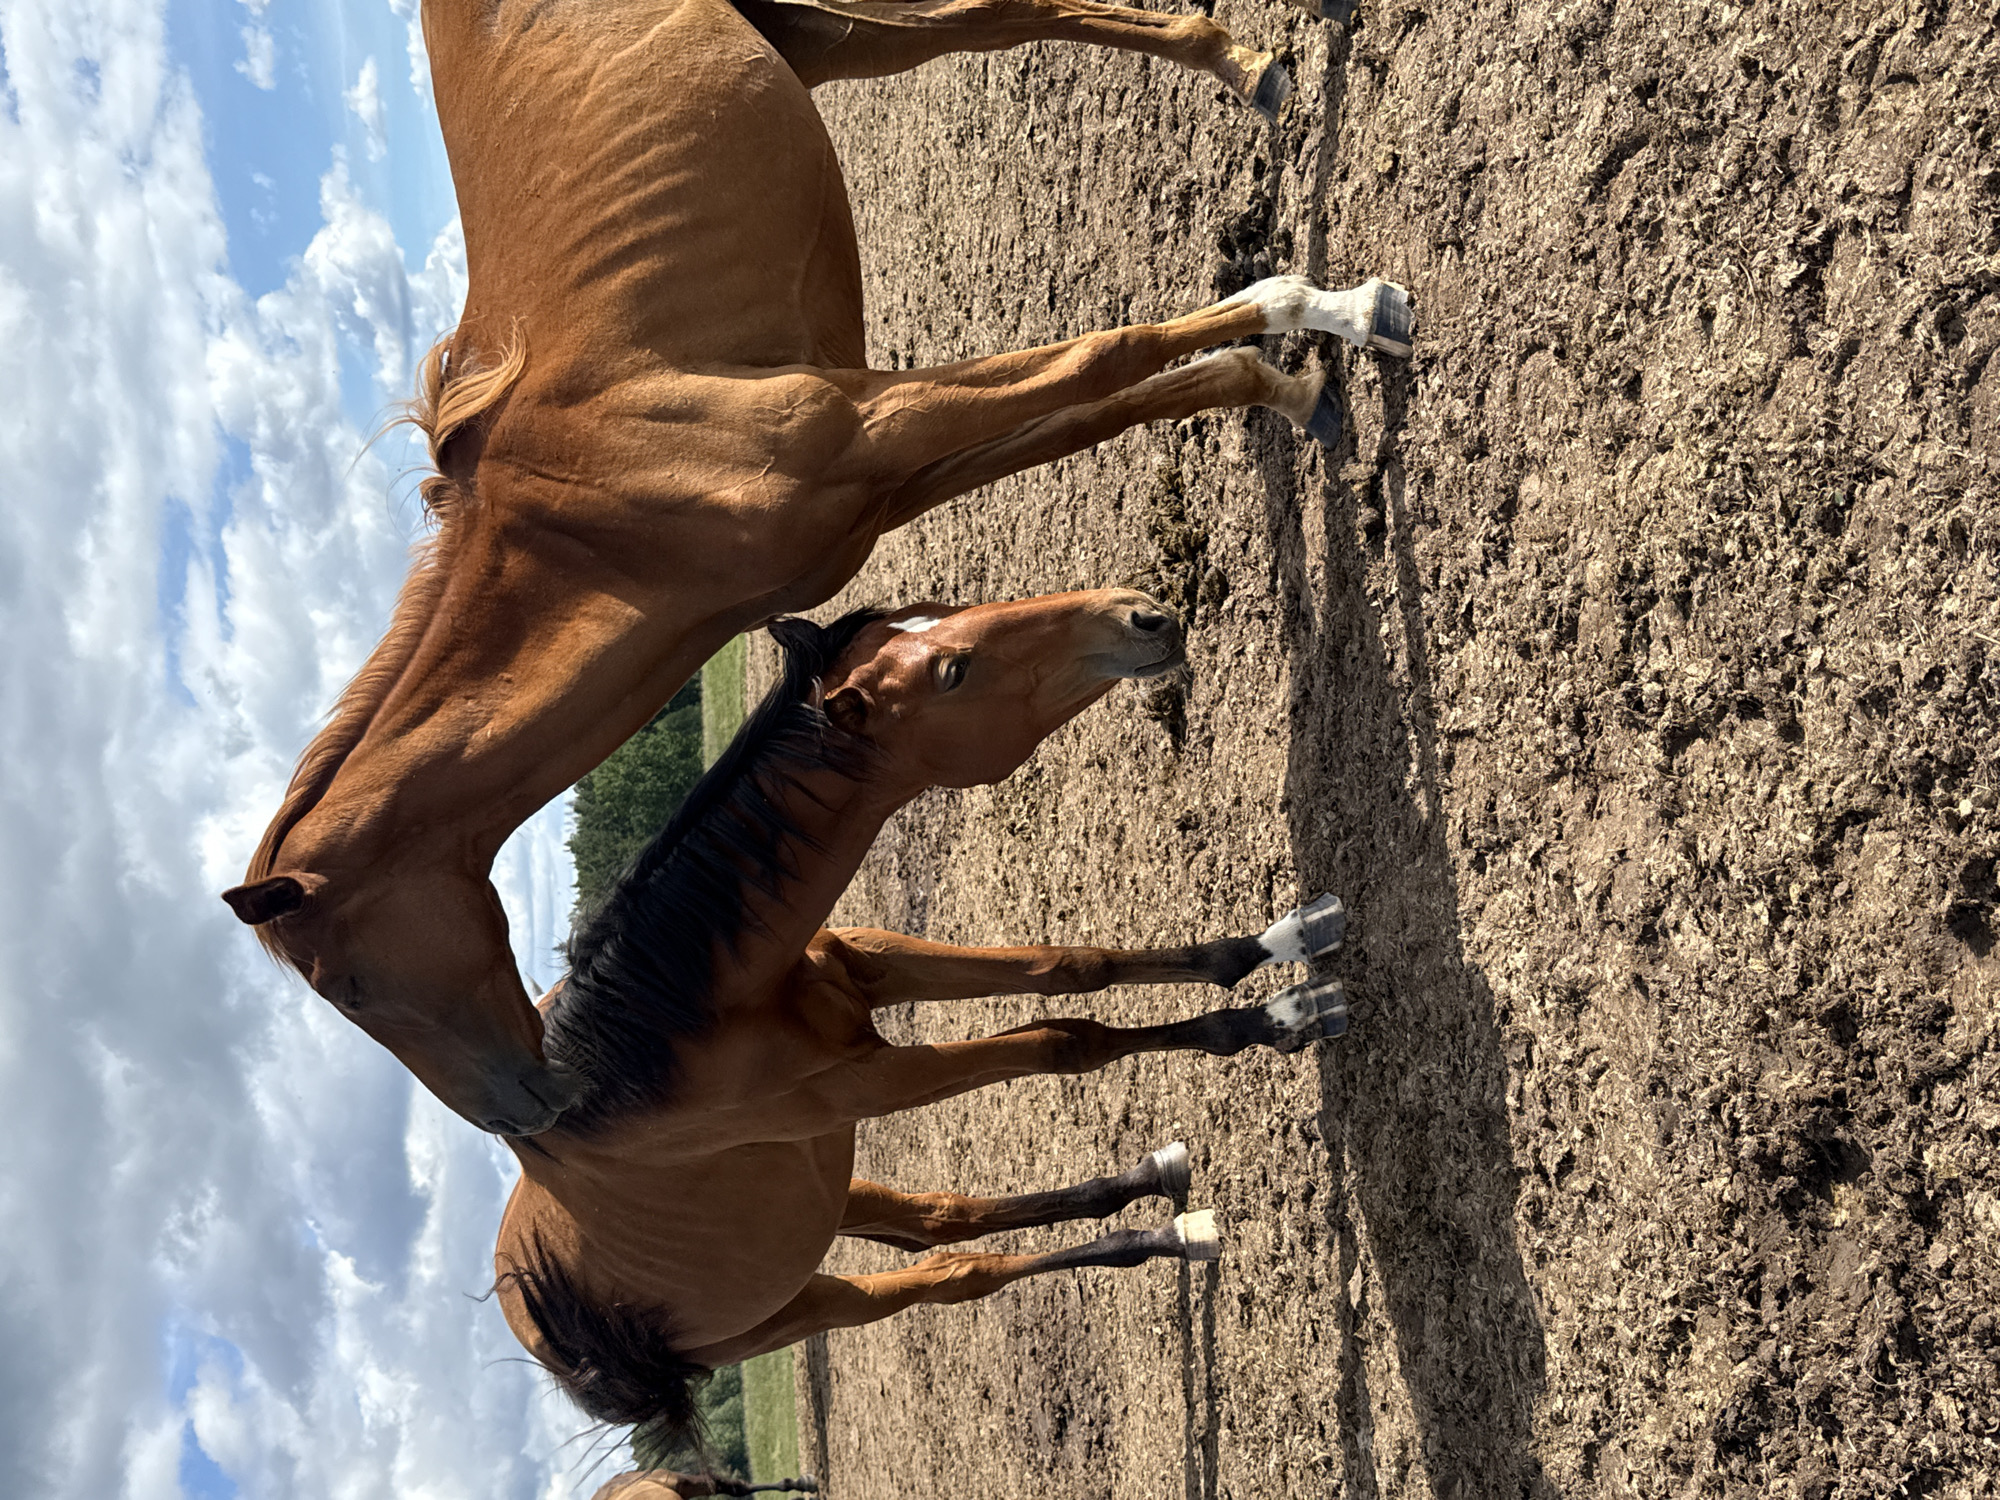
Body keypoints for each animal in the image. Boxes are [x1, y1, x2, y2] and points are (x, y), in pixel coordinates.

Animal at [221, 0, 1413, 1137]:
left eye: (352, 988)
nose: (529, 1106)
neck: (605, 520)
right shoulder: (883, 480)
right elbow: (1102, 402)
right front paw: (1286, 384)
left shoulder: (872, 423)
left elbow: (1101, 358)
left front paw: (1334, 311)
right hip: (813, 39)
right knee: (988, 19)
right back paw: (1261, 60)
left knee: (1000, 19)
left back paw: (1251, 67)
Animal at [492, 588, 1351, 1450]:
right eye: (953, 671)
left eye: (938, 608)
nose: (1138, 613)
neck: (684, 1022)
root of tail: (546, 1333)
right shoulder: (876, 1081)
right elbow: (1066, 1040)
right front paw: (1282, 1013)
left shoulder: (880, 964)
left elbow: (1071, 965)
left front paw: (1280, 948)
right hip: (808, 1304)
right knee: (955, 1275)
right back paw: (1173, 1234)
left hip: (831, 1196)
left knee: (942, 1222)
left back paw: (1150, 1187)